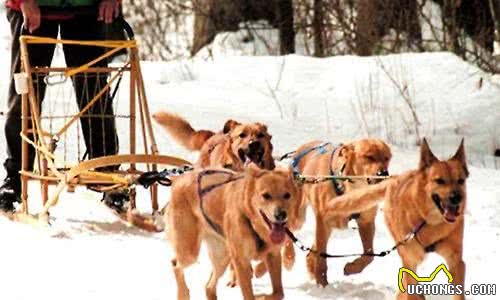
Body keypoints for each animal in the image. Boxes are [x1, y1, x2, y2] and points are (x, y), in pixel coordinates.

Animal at [168, 166, 300, 300]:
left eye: (287, 195)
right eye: (266, 195)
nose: (281, 215)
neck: (251, 221)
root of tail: (180, 179)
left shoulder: (273, 254)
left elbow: (279, 293)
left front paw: (262, 295)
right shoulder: (241, 261)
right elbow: (249, 295)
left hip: (221, 257)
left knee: (208, 287)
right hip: (190, 253)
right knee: (175, 264)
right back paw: (183, 293)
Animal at [328, 139, 468, 298]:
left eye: (460, 181)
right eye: (440, 181)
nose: (457, 198)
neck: (428, 221)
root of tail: (395, 178)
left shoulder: (456, 261)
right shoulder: (410, 260)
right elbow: (411, 286)